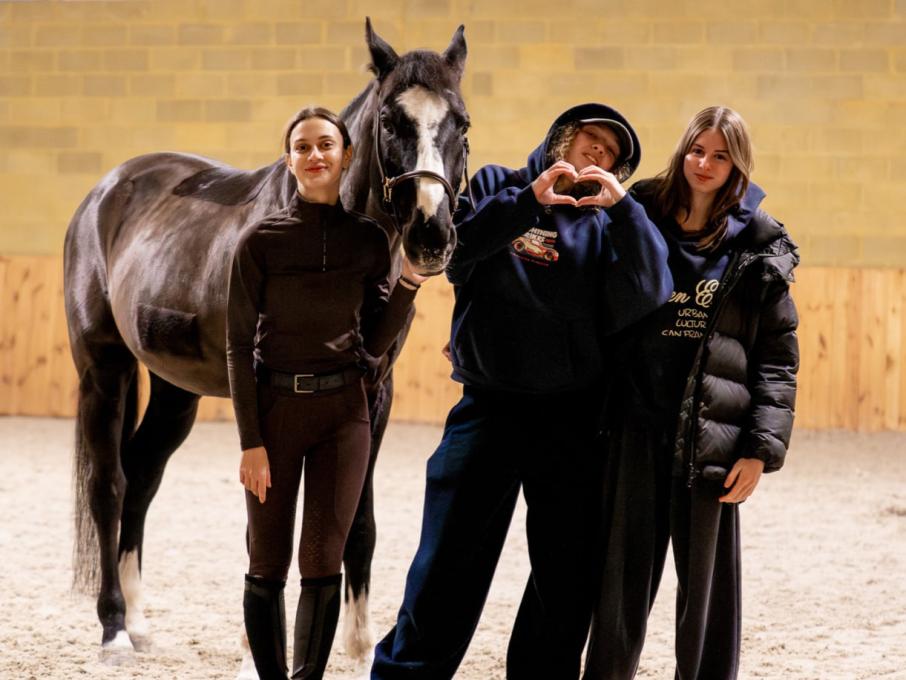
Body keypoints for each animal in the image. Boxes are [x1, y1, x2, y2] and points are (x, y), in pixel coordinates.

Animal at [63, 18, 469, 665]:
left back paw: (142, 620)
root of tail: (106, 191)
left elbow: (357, 521)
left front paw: (357, 647)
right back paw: (115, 629)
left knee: (141, 475)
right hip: (104, 371)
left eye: (462, 123)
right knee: (108, 485)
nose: (431, 234)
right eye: (389, 121)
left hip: (177, 391)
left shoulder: (375, 390)